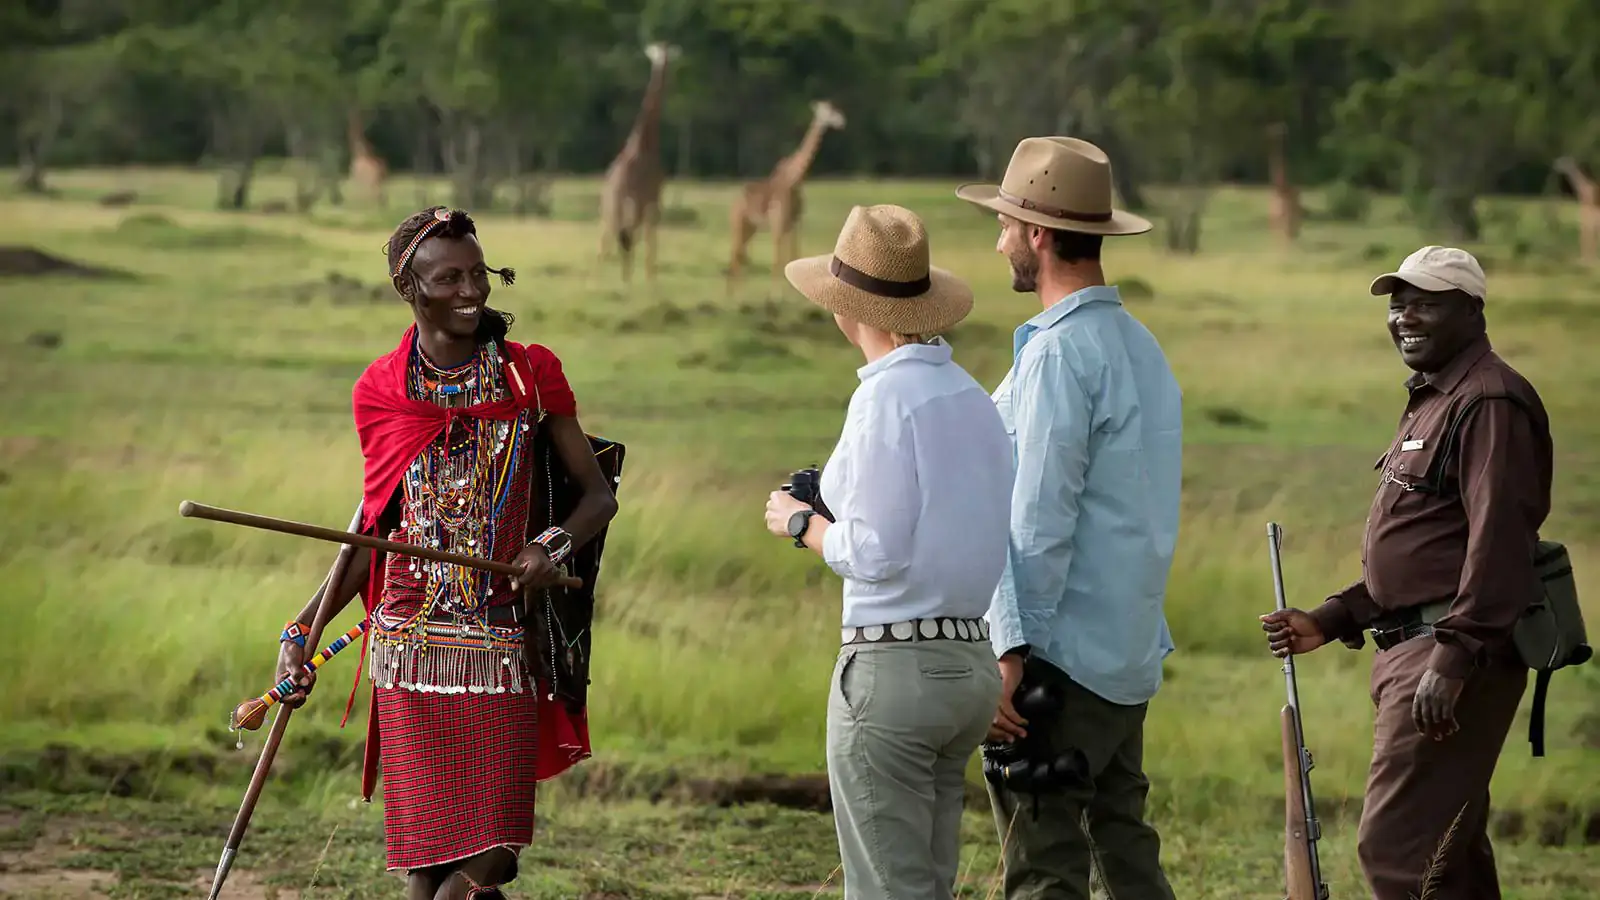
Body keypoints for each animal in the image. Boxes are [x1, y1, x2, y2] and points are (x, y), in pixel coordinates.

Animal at [598, 40, 678, 280]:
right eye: (659, 54)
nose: (663, 63)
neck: (643, 142)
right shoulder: (654, 202)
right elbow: (651, 250)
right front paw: (652, 283)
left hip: (607, 213)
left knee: (605, 247)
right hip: (629, 214)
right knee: (625, 247)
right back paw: (624, 282)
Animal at [729, 101, 851, 291]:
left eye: (835, 109)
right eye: (826, 111)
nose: (841, 122)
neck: (795, 179)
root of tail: (735, 202)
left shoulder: (795, 223)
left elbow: (793, 257)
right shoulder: (778, 223)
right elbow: (777, 260)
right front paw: (775, 295)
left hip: (751, 227)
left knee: (739, 254)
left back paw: (737, 293)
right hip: (739, 223)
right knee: (736, 255)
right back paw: (734, 295)